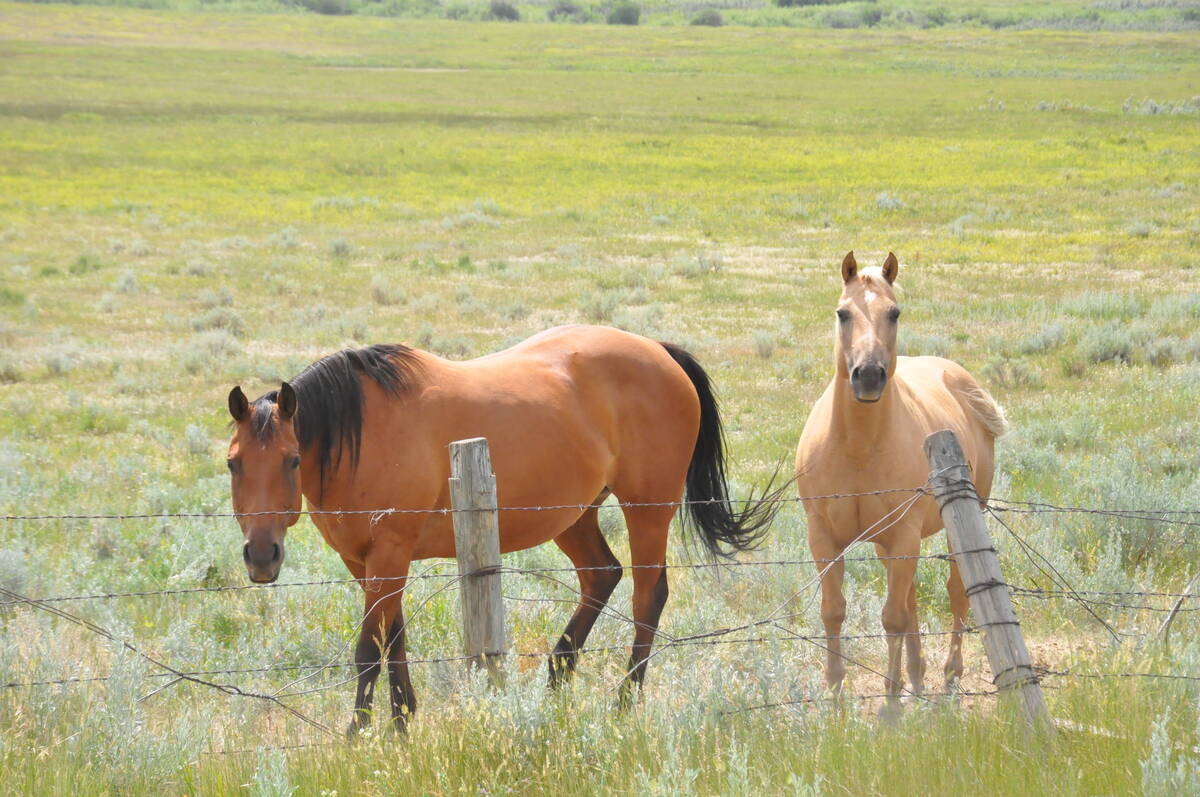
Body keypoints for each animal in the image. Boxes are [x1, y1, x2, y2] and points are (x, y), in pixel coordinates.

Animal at [224, 324, 775, 733]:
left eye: (293, 460)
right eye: (233, 463)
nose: (261, 556)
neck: (363, 435)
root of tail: (660, 351)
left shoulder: (390, 554)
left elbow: (369, 650)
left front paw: (358, 736)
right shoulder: (364, 561)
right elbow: (394, 641)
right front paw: (402, 724)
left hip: (646, 509)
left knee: (648, 595)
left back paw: (623, 702)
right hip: (574, 515)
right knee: (602, 576)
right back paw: (555, 680)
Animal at [794, 252, 1007, 710]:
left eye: (894, 313)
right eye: (842, 313)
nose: (869, 375)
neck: (858, 446)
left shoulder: (904, 534)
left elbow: (892, 617)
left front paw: (890, 706)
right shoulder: (824, 537)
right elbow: (834, 609)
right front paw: (835, 693)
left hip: (959, 521)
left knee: (955, 592)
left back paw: (948, 677)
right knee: (910, 600)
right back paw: (917, 676)